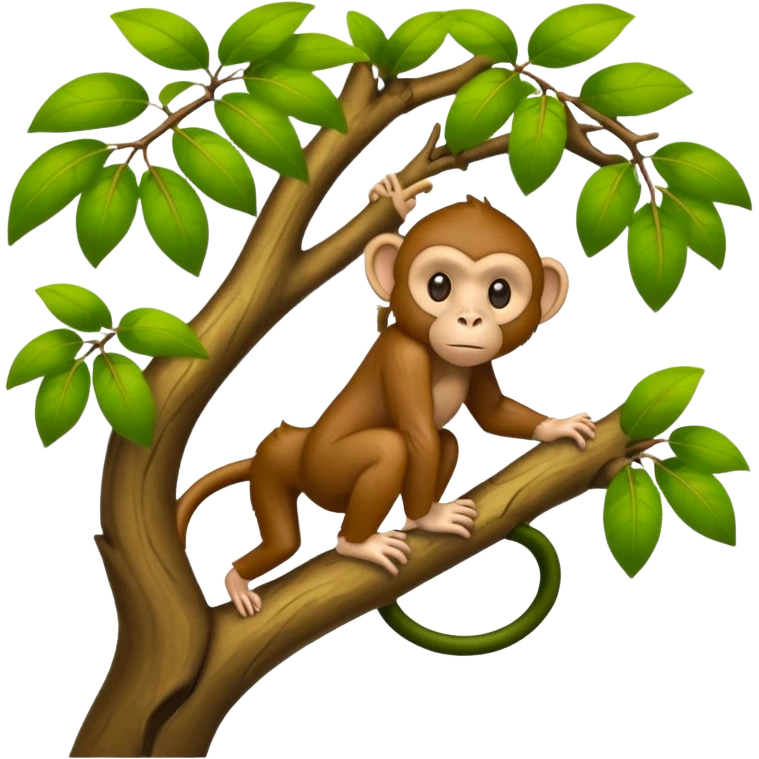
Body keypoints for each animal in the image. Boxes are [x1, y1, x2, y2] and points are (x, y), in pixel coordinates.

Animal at [176, 173, 596, 618]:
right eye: (439, 286)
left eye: (499, 293)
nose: (470, 319)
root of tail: (295, 444)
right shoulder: (403, 355)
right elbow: (416, 434)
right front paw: (430, 521)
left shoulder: (477, 363)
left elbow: (489, 413)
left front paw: (559, 428)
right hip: (319, 470)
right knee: (380, 458)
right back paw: (344, 548)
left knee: (444, 442)